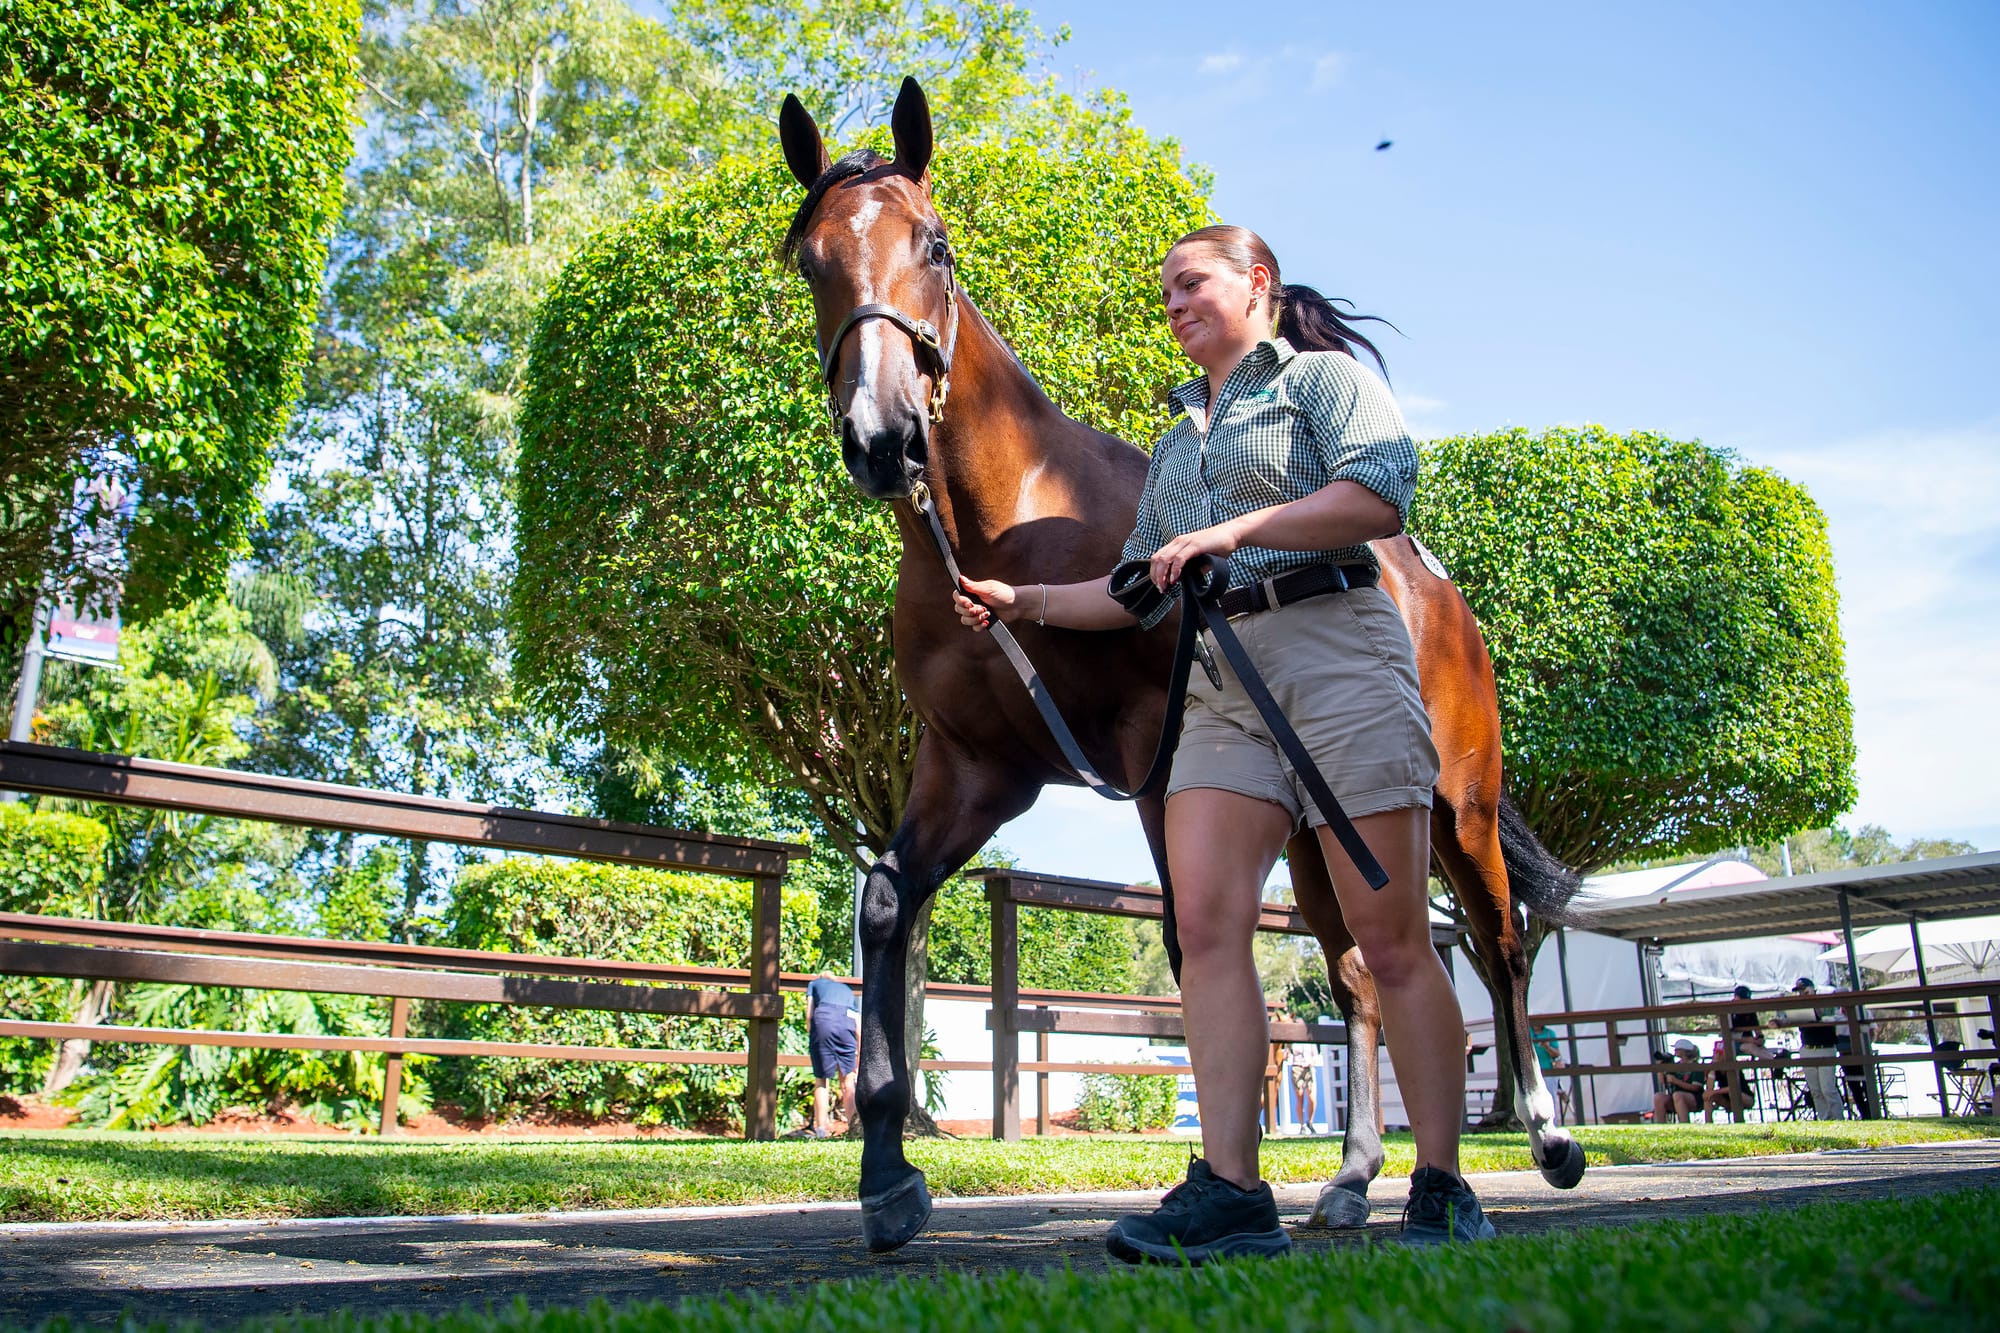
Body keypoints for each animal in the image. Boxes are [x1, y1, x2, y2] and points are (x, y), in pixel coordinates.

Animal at [776, 83, 1576, 1248]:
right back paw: (1350, 1178)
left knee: (1495, 945)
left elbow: (1193, 951)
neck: (1008, 521)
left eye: (936, 244)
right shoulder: (974, 768)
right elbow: (886, 902)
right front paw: (887, 1174)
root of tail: (1433, 586)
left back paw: (1540, 1143)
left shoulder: (1153, 768)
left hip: (1454, 808)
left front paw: (1221, 1181)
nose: (883, 439)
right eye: (810, 260)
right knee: (1359, 980)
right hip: (1314, 837)